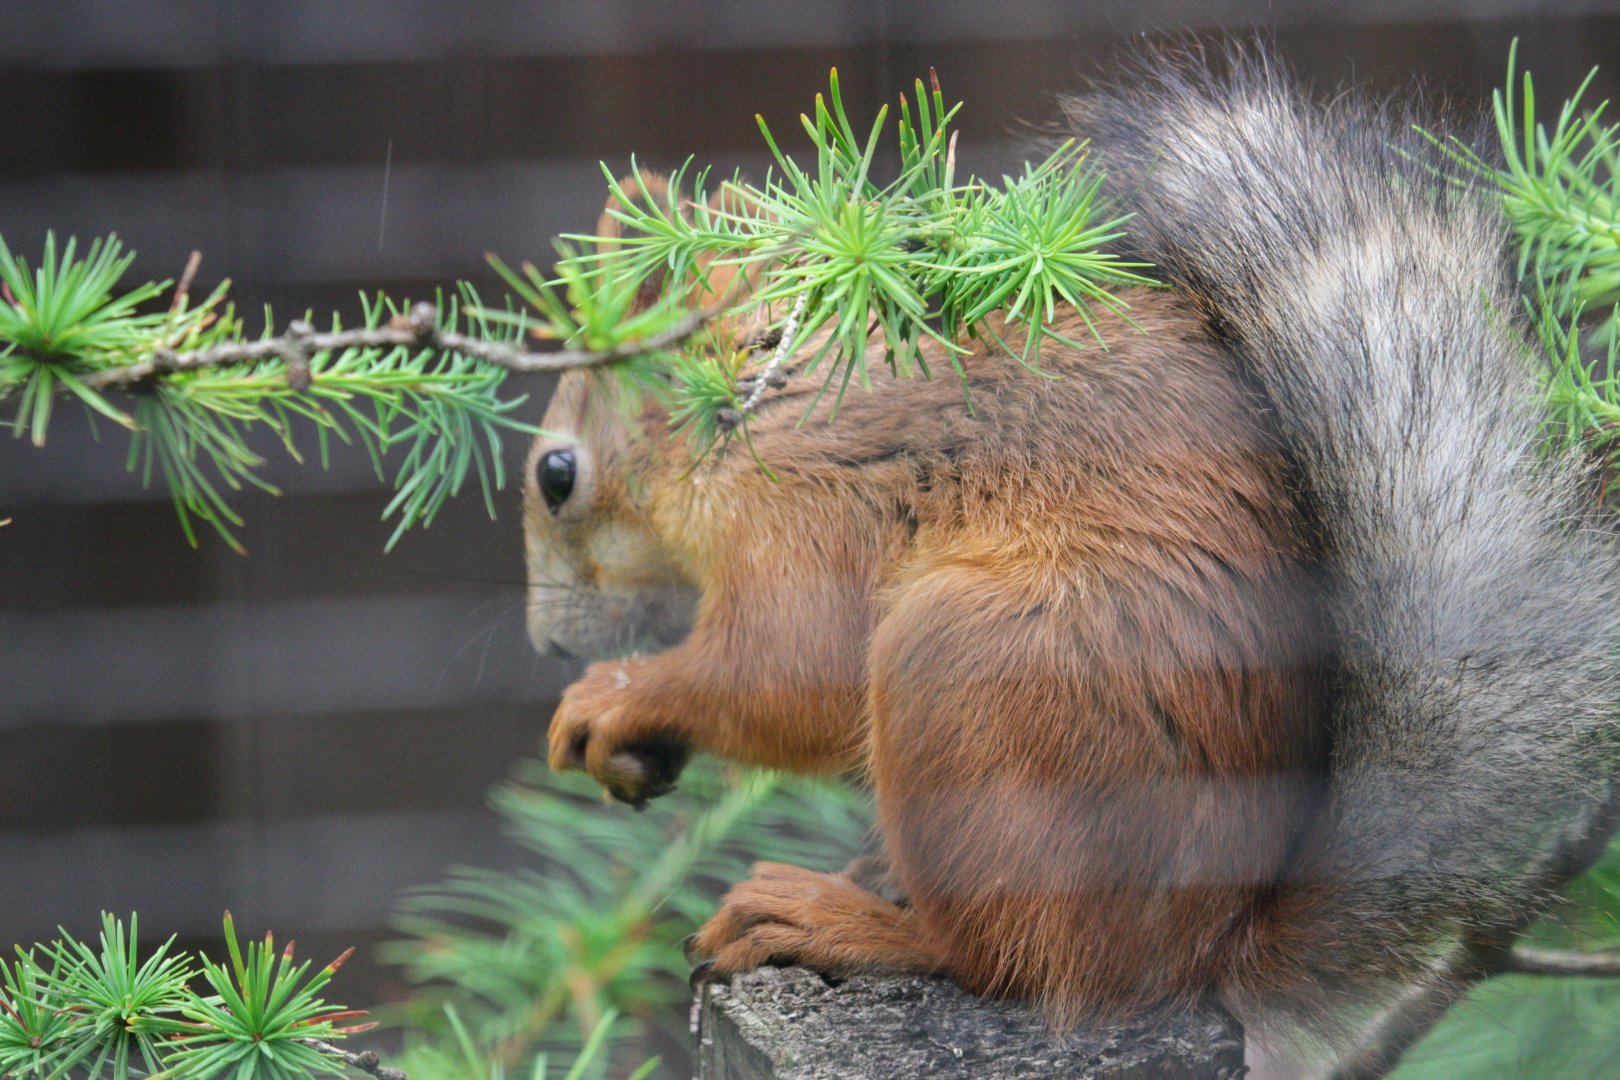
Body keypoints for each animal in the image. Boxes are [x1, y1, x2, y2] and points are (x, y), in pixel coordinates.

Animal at [521, 48, 1620, 1033]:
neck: (758, 393)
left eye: (555, 475)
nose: (549, 645)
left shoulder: (812, 503)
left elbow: (788, 670)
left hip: (978, 667)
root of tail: (1206, 946)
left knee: (1017, 960)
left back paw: (843, 923)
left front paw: (613, 699)